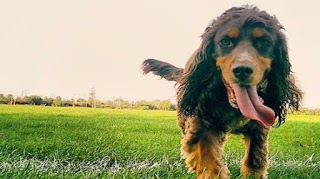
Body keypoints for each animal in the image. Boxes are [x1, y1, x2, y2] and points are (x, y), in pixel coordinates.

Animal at [141, 5, 302, 179]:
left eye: (264, 42)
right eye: (225, 41)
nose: (242, 70)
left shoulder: (259, 128)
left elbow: (254, 161)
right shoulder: (201, 126)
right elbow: (211, 165)